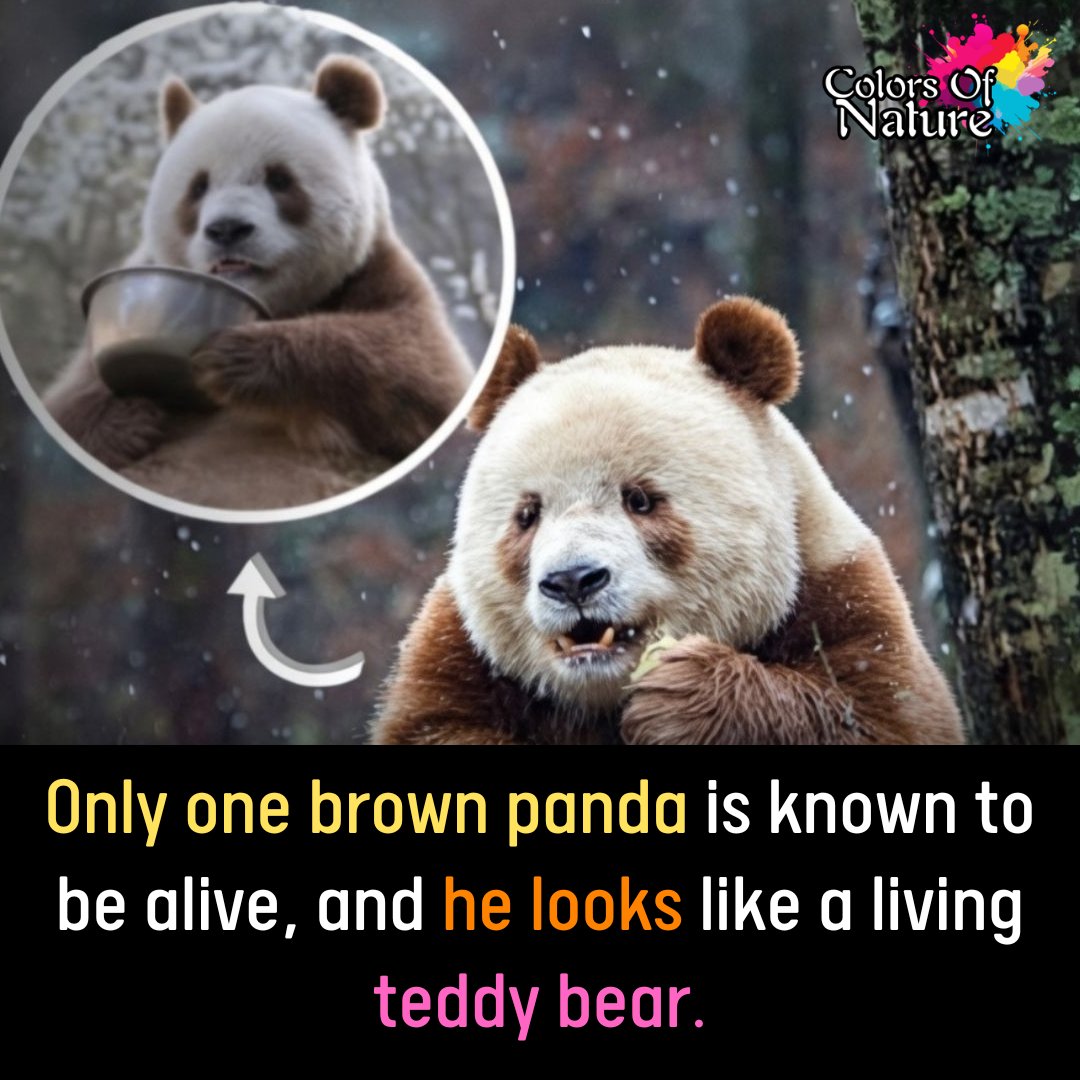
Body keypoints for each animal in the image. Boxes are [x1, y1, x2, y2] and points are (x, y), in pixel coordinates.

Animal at [44, 55, 474, 511]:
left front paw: (240, 360)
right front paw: (128, 422)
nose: (227, 229)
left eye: (279, 179)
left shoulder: (371, 270)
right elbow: (66, 405)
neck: (276, 305)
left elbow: (424, 367)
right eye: (199, 186)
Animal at [371, 297, 965, 744]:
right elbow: (436, 724)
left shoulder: (840, 594)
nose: (573, 581)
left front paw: (683, 695)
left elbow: (880, 716)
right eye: (527, 515)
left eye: (641, 500)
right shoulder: (455, 655)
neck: (601, 689)